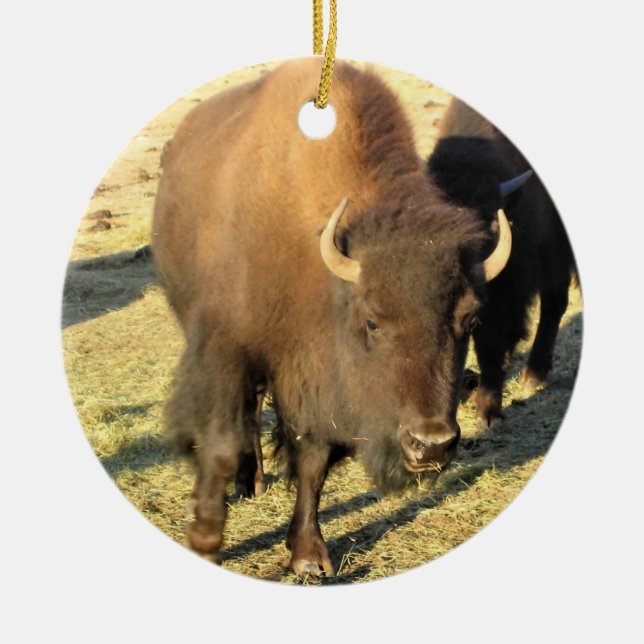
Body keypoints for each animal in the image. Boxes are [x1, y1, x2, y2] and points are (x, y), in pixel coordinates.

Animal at [152, 58, 566, 577]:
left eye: (469, 320)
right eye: (373, 321)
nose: (430, 444)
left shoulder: (313, 377)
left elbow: (313, 460)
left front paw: (309, 556)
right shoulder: (227, 348)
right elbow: (221, 443)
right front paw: (205, 540)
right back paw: (251, 482)